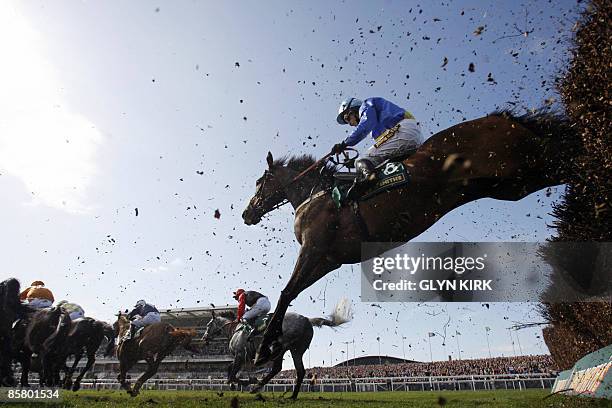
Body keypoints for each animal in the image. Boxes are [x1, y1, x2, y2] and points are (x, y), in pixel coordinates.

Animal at [202, 296, 350, 398]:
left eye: (208, 325)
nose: (204, 338)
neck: (236, 329)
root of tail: (306, 319)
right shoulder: (242, 357)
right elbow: (230, 369)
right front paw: (236, 383)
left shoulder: (240, 355)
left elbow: (233, 373)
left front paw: (247, 381)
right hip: (296, 350)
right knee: (296, 370)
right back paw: (290, 395)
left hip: (282, 345)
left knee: (278, 364)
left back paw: (258, 382)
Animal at [244, 109, 580, 364]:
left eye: (260, 182)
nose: (247, 214)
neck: (317, 194)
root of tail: (499, 117)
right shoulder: (329, 260)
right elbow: (291, 294)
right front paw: (269, 344)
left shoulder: (314, 249)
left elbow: (286, 293)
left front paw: (263, 349)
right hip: (511, 184)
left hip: (523, 166)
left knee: (574, 156)